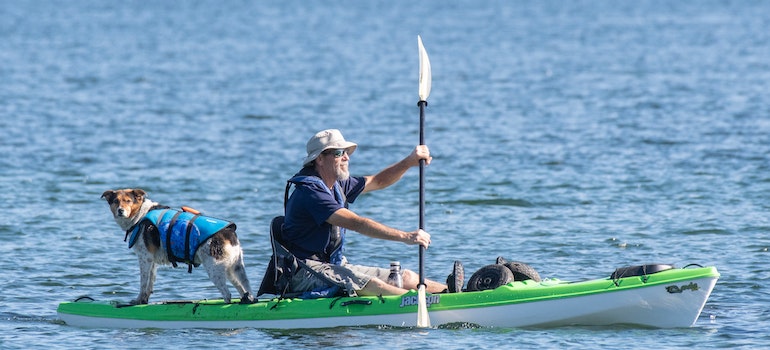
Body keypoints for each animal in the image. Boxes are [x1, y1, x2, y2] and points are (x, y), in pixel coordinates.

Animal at [97, 187, 255, 304]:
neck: (140, 216)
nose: (120, 210)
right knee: (246, 292)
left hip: (214, 269)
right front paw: (144, 300)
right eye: (115, 201)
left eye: (128, 201)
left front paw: (138, 301)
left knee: (227, 295)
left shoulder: (144, 258)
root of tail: (228, 232)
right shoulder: (152, 261)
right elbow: (149, 283)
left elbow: (143, 283)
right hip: (234, 269)